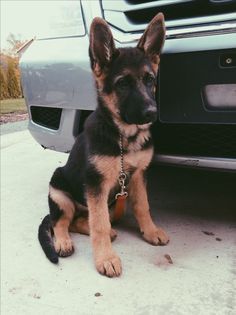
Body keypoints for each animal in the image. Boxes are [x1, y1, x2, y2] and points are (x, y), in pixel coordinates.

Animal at [37, 13, 169, 278]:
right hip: (60, 193)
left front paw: (150, 231)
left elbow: (143, 207)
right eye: (123, 84)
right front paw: (106, 258)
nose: (152, 113)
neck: (123, 138)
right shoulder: (95, 184)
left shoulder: (138, 175)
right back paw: (63, 242)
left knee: (81, 221)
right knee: (61, 221)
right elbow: (98, 224)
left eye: (149, 80)